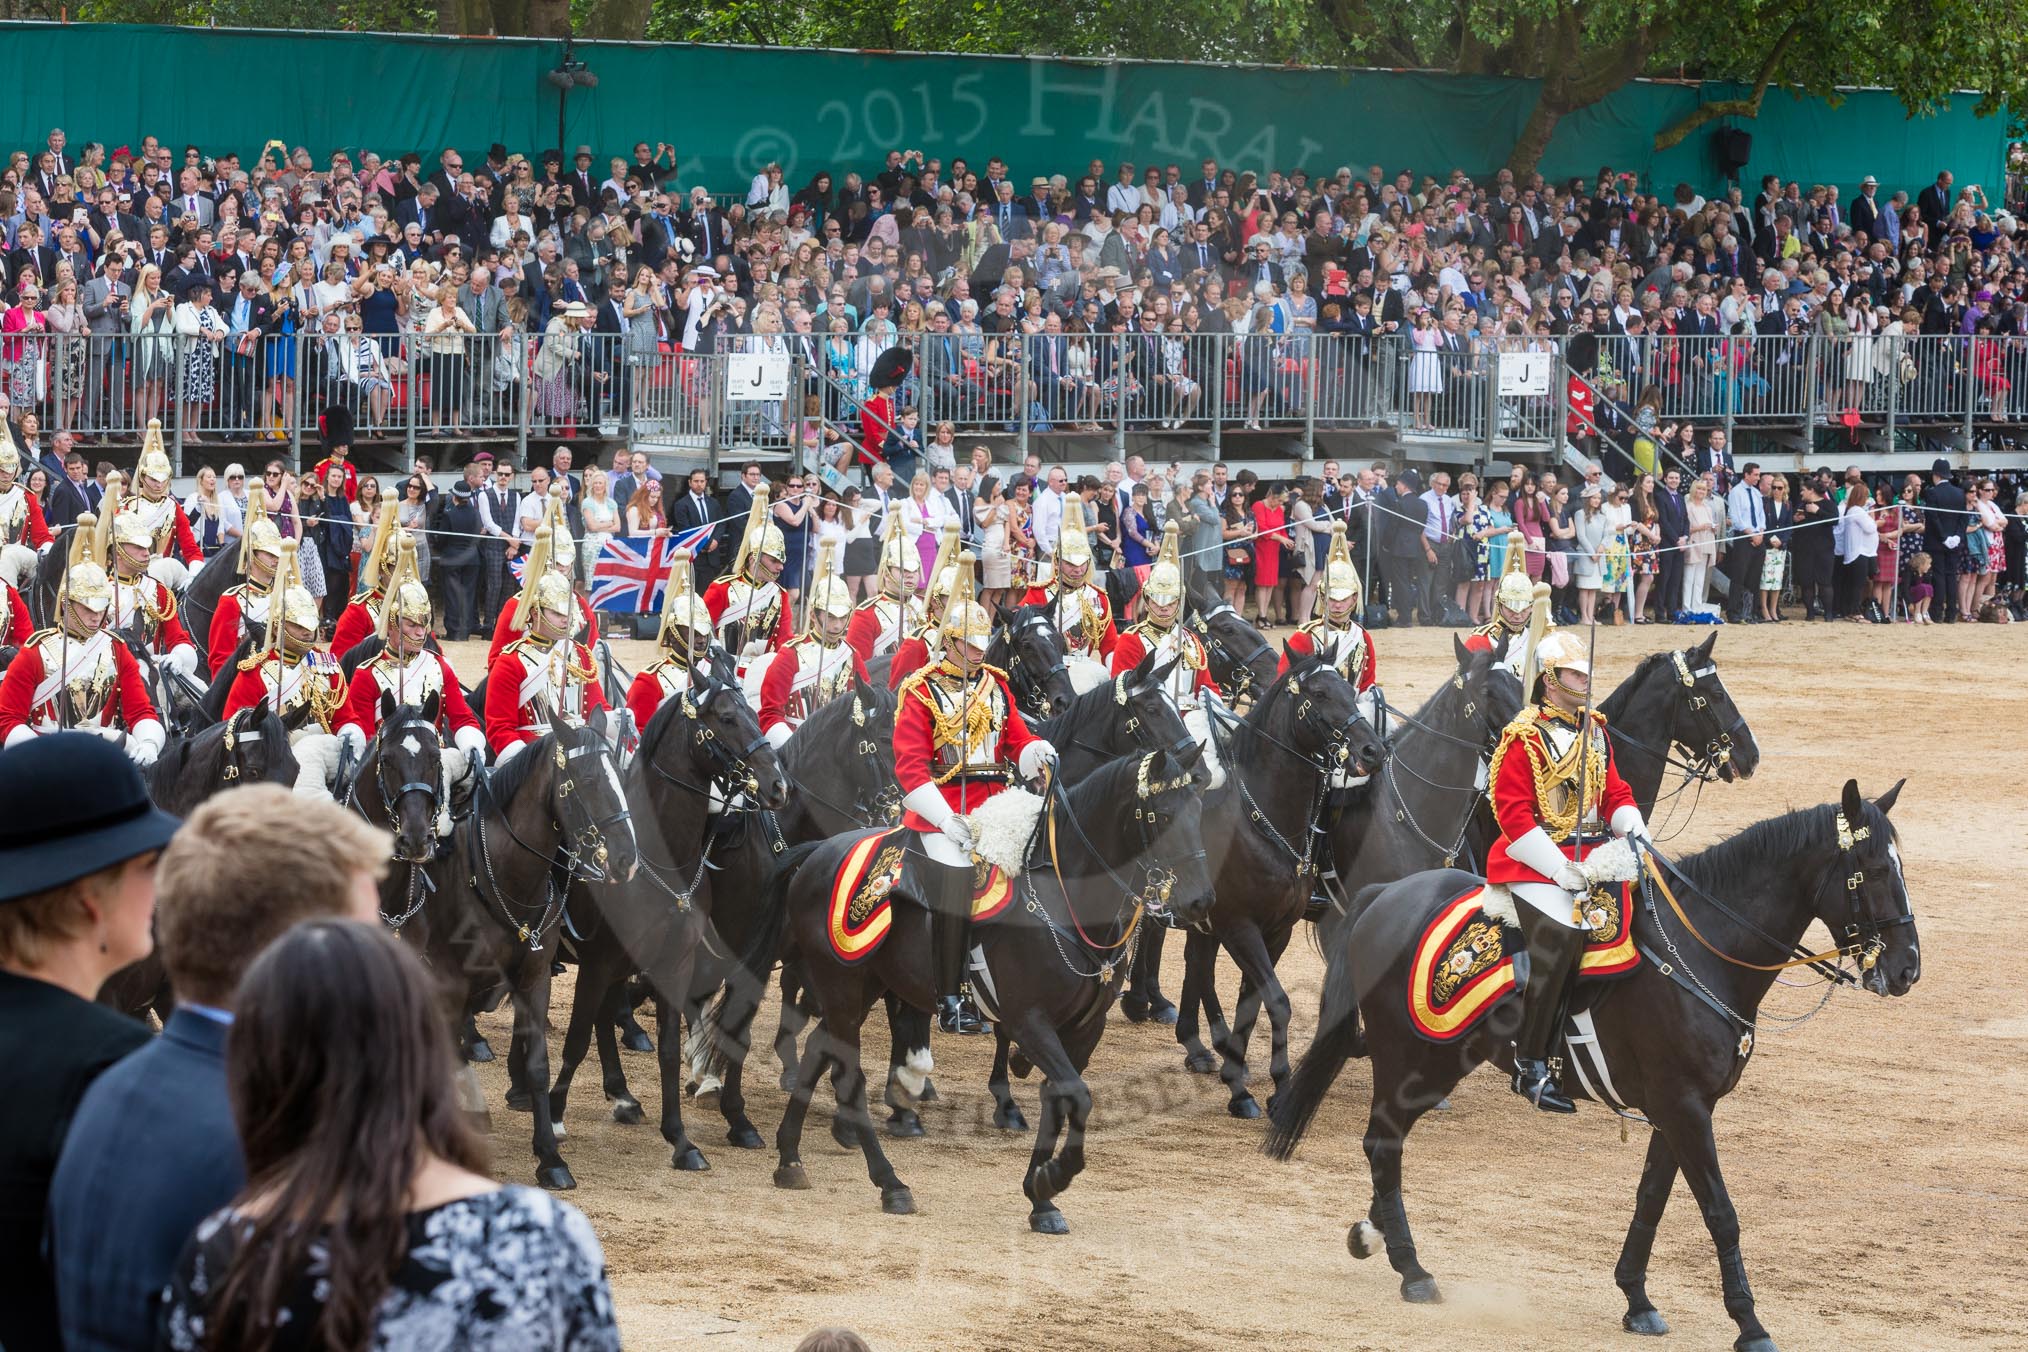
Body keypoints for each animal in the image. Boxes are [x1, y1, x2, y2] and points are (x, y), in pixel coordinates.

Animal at [419, 718, 640, 1189]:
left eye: (620, 775)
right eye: (589, 780)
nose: (627, 859)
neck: (504, 875)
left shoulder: (535, 977)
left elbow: (539, 1063)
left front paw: (550, 1156)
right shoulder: (450, 982)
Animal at [547, 648, 790, 1172]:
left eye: (754, 712)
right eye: (727, 718)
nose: (778, 785)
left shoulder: (674, 965)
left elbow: (672, 1050)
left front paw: (681, 1138)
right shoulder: (598, 963)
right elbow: (576, 1038)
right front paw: (552, 1118)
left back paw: (622, 1096)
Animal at [748, 744, 1217, 1230]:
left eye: (1200, 809)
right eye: (1163, 815)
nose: (1200, 901)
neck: (1064, 896)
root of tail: (820, 852)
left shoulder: (1086, 1027)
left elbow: (1061, 1097)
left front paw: (1040, 1196)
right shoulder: (1029, 1021)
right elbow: (1077, 1095)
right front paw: (1053, 1178)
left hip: (864, 988)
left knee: (818, 1049)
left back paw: (789, 1158)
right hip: (842, 986)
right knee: (847, 1072)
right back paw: (890, 1183)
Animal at [1171, 652, 1389, 1118]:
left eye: (1350, 689)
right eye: (1320, 694)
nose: (1373, 750)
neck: (1263, 822)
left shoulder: (1276, 931)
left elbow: (1251, 1004)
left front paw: (1252, 1082)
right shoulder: (1239, 926)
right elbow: (1277, 1001)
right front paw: (1254, 1087)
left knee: (1197, 963)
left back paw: (1201, 1046)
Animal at [1266, 779, 1920, 1352]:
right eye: (1875, 870)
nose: (1908, 969)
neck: (1704, 949)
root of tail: (1386, 896)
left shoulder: (1680, 1109)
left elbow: (1651, 1200)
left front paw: (1637, 1300)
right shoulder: (1684, 1108)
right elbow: (1720, 1213)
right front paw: (1750, 1325)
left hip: (1441, 1063)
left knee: (1388, 1144)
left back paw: (1372, 1235)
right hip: (1411, 1061)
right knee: (1382, 1144)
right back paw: (1412, 1269)